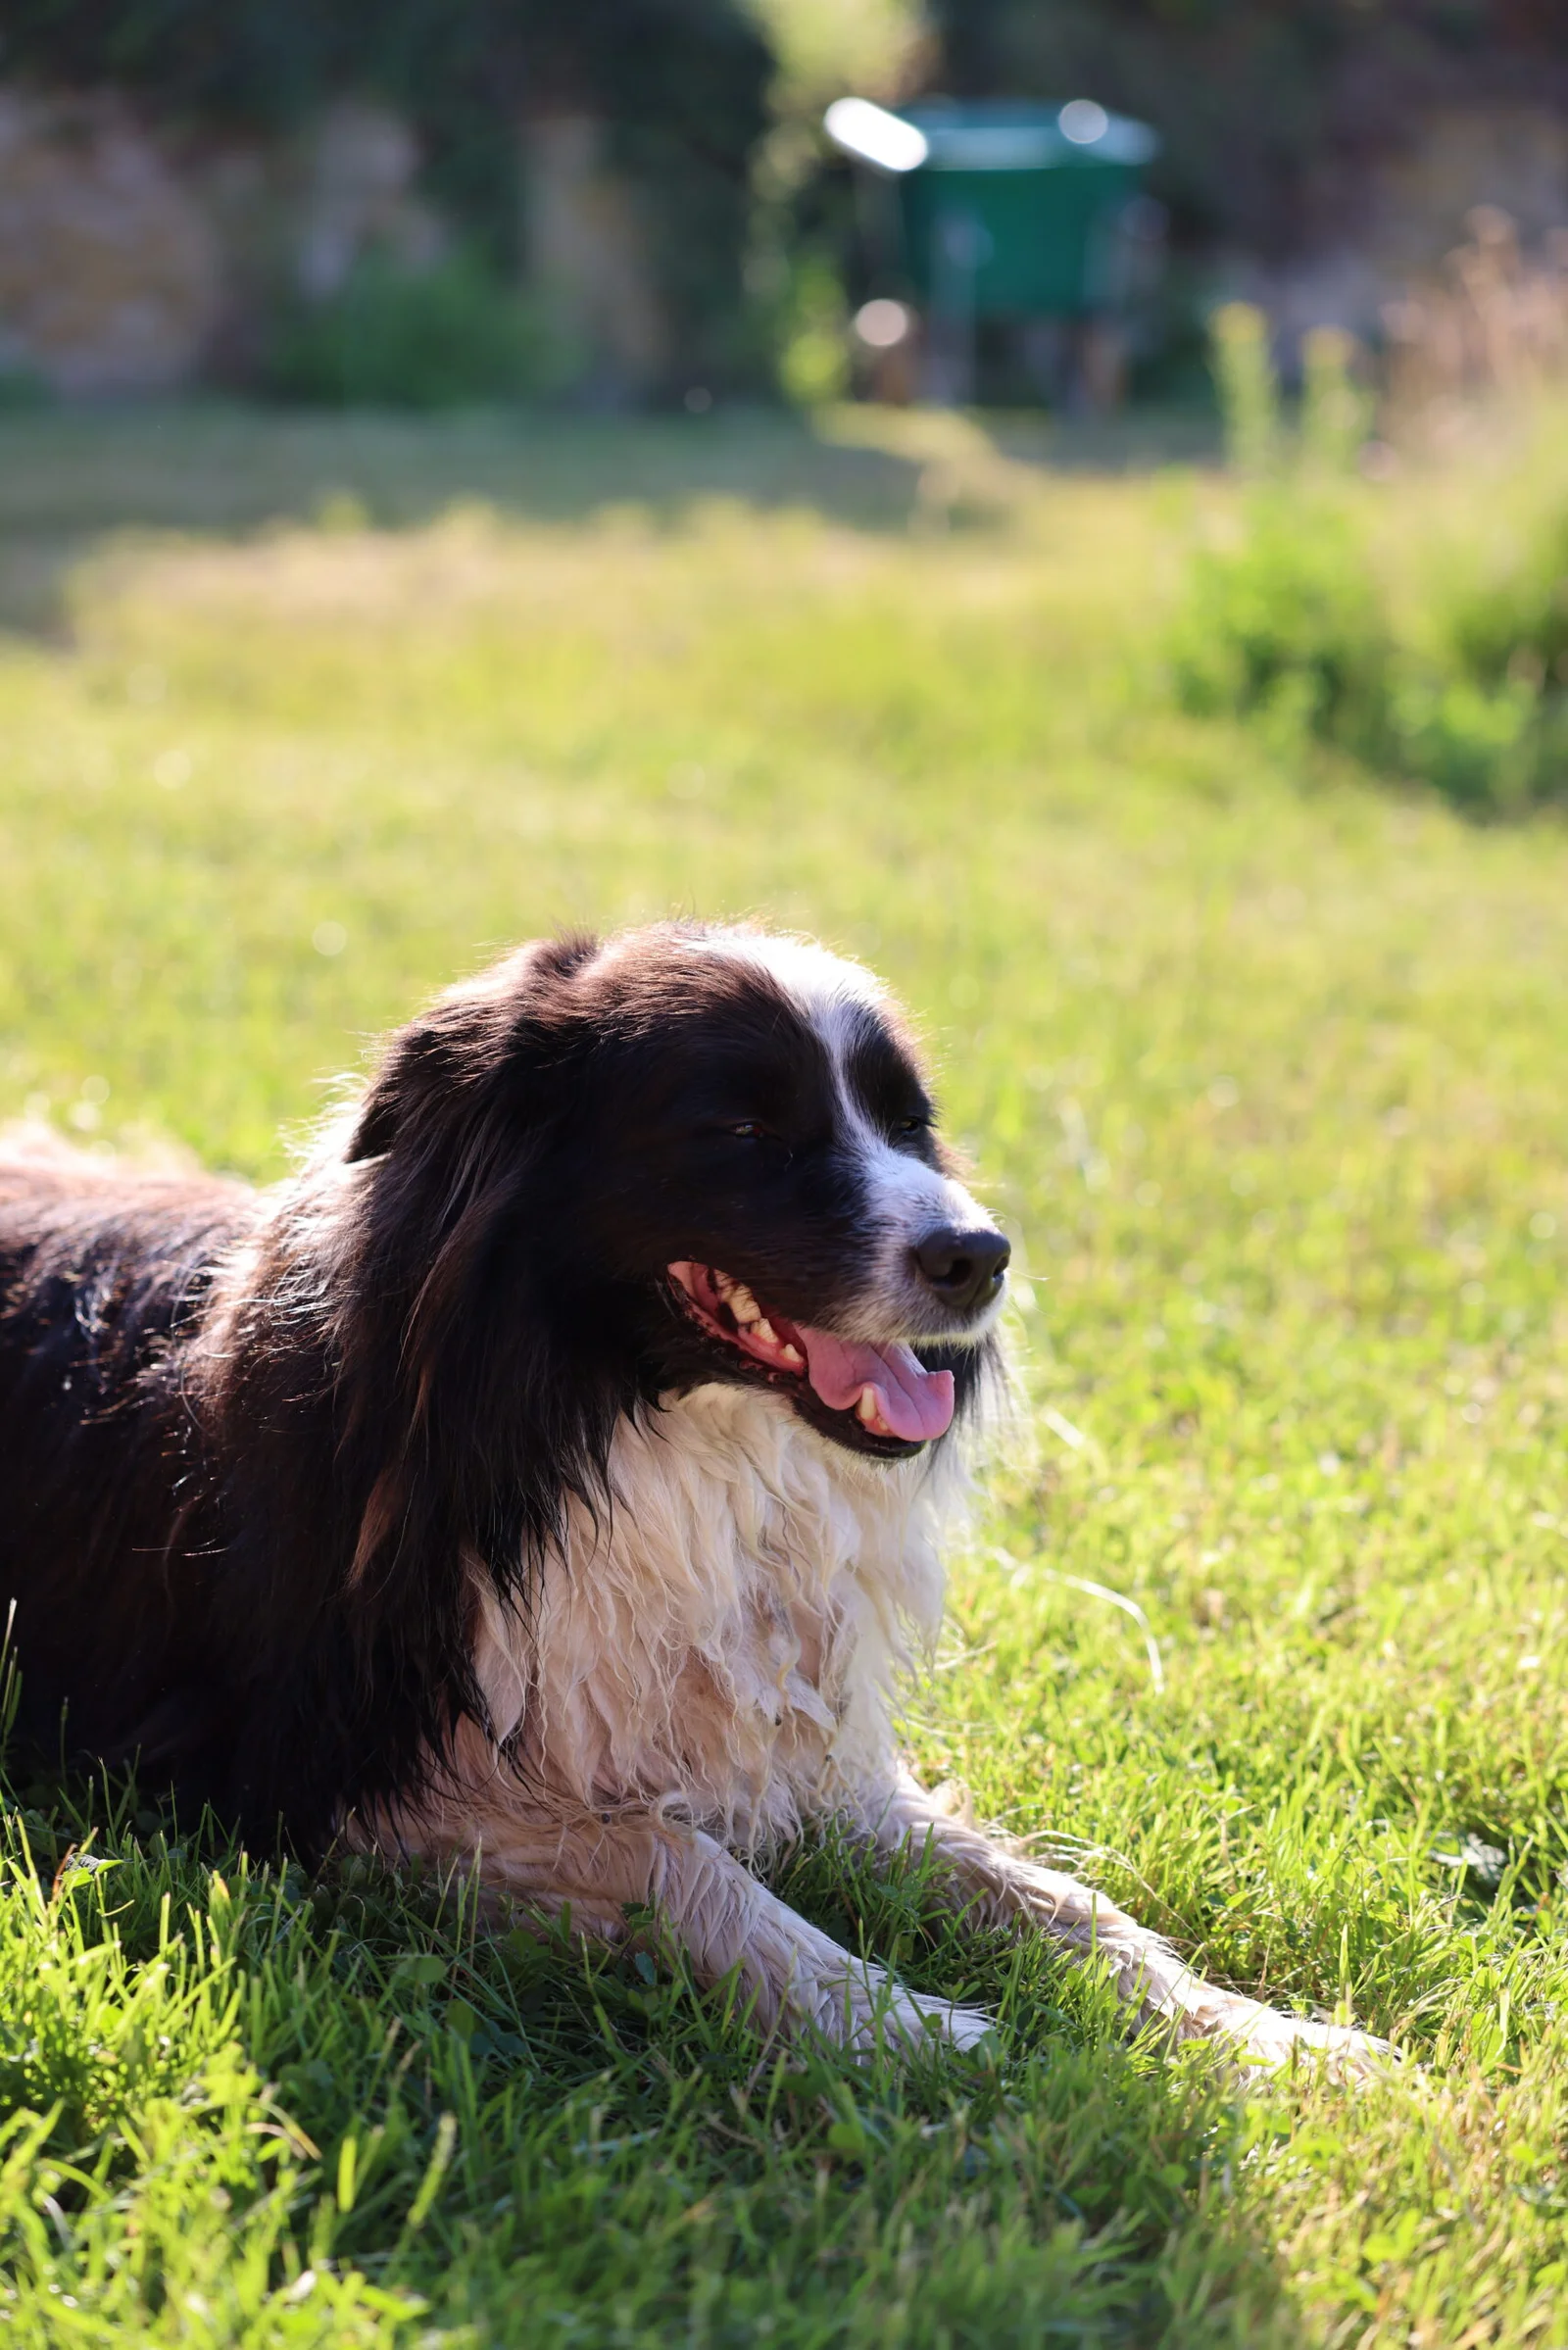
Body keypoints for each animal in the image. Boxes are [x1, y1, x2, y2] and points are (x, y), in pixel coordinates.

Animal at [0, 925, 1372, 2068]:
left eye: (908, 1124)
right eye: (745, 1133)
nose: (981, 1257)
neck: (631, 1425)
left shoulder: (801, 1747)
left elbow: (1046, 1893)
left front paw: (1267, 2037)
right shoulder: (327, 1765)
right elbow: (675, 1858)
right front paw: (916, 2027)